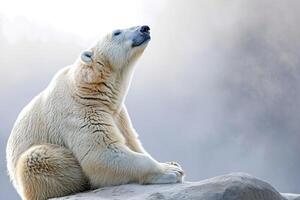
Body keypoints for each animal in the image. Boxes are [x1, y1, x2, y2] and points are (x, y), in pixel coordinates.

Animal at [5, 25, 183, 199]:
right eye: (117, 32)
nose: (145, 28)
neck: (88, 86)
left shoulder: (118, 113)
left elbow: (131, 140)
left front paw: (171, 163)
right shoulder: (79, 109)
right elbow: (101, 152)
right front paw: (171, 171)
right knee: (35, 157)